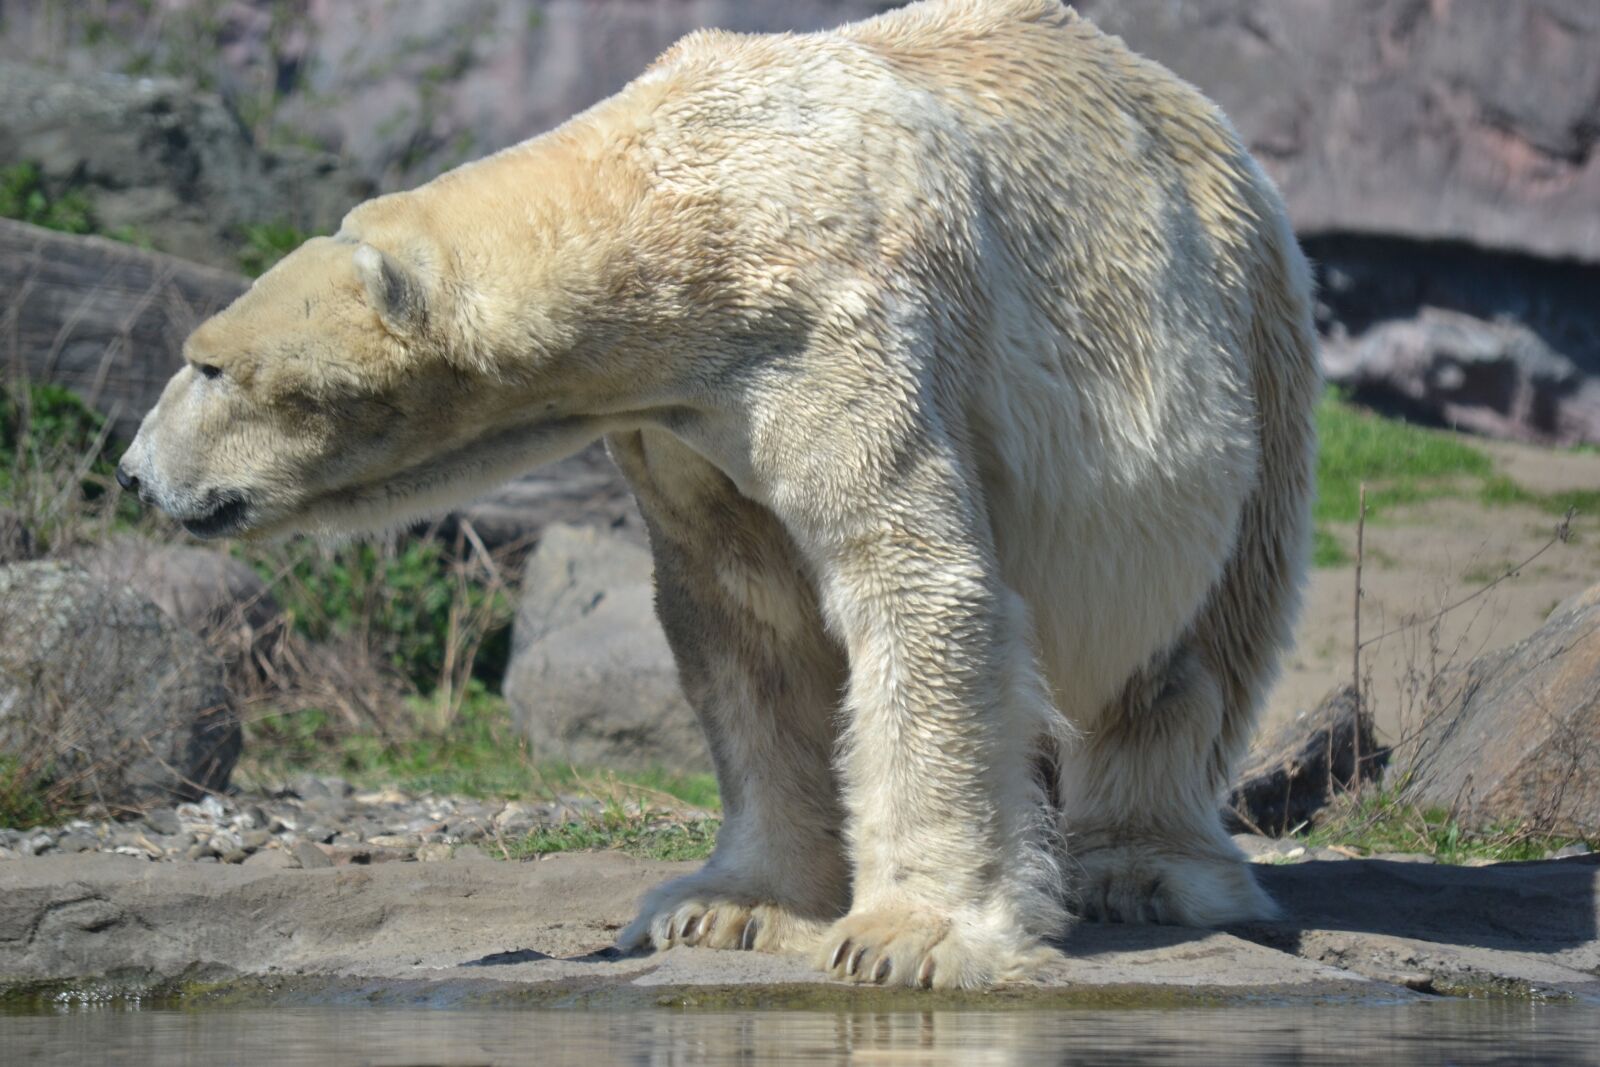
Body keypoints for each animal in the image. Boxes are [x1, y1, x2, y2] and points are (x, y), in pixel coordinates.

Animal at [118, 0, 1319, 989]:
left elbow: (914, 581)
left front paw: (906, 937)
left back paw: (1145, 868)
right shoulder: (686, 420)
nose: (133, 470)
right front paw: (725, 908)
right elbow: (748, 617)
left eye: (208, 364)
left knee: (1197, 639)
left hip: (1237, 341)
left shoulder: (839, 327)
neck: (681, 199)